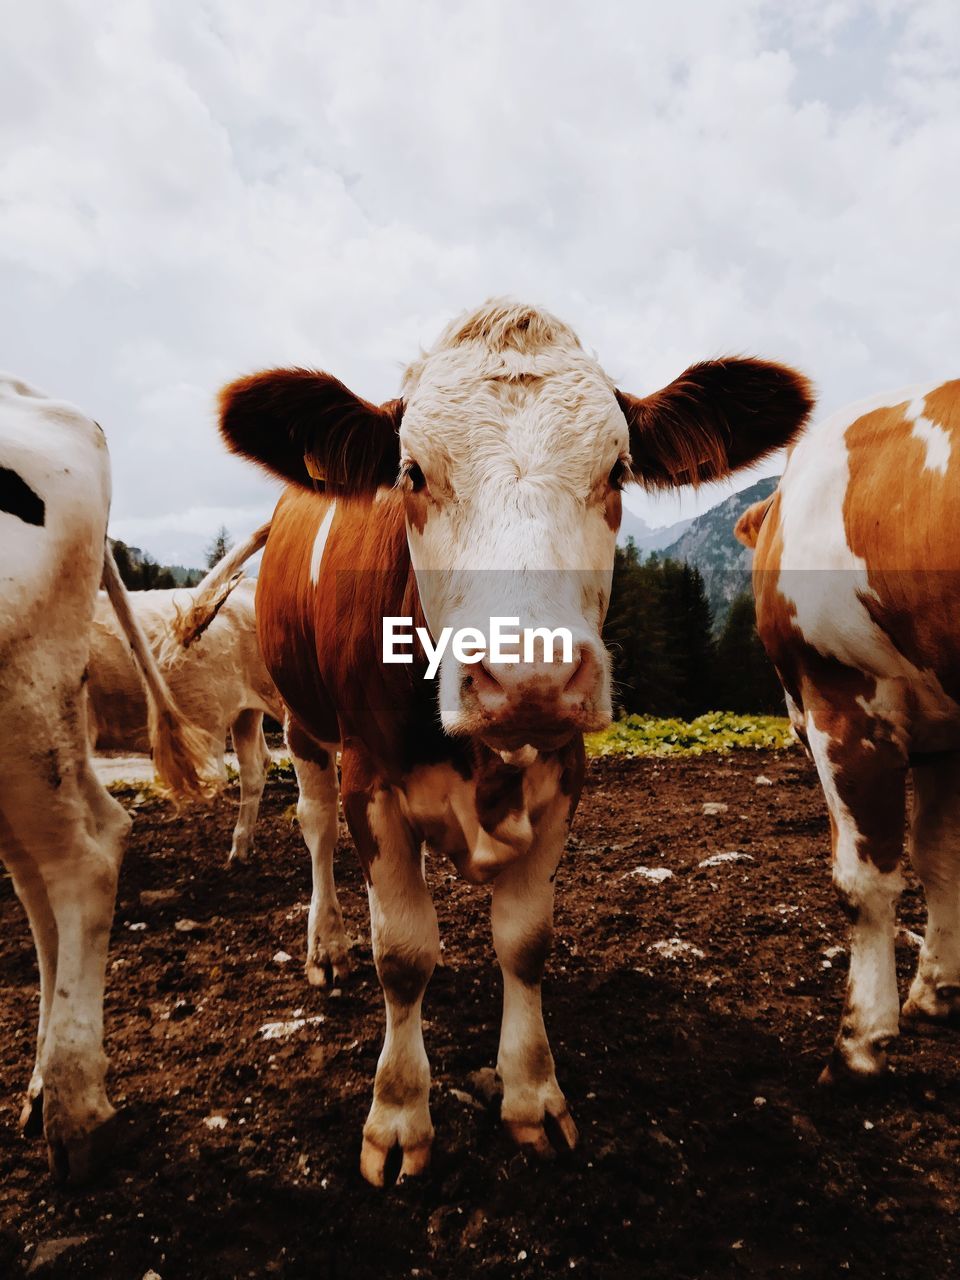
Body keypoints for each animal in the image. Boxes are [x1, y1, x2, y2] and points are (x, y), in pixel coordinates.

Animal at [220, 296, 814, 1177]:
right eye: (411, 474)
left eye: (617, 471)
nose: (529, 674)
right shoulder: (371, 779)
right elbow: (402, 954)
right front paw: (399, 1114)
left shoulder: (565, 772)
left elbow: (525, 941)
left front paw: (531, 1094)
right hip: (302, 723)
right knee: (316, 828)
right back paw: (325, 944)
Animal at [742, 376, 960, 1080]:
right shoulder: (944, 735)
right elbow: (940, 853)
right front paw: (937, 991)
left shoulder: (845, 702)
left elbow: (863, 881)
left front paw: (861, 1041)